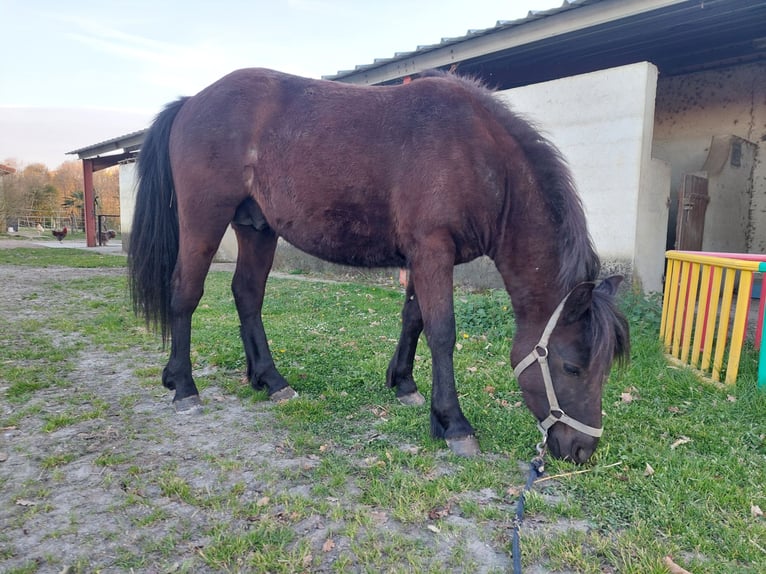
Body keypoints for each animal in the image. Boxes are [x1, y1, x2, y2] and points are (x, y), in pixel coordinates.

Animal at [128, 68, 629, 463]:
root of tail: (192, 102)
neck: (477, 154)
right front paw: (454, 424)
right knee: (185, 292)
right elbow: (442, 332)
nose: (582, 450)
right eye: (571, 367)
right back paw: (184, 386)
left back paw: (269, 380)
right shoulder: (432, 251)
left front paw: (405, 385)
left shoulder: (424, 256)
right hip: (204, 219)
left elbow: (414, 318)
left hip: (257, 228)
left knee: (247, 294)